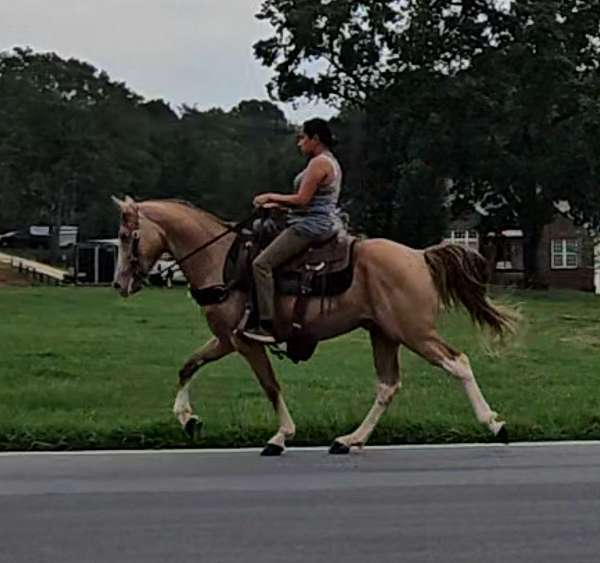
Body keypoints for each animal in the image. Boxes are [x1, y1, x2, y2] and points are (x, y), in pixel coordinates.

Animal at [113, 196, 520, 456]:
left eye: (125, 237)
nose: (119, 284)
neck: (222, 261)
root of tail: (420, 256)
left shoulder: (246, 342)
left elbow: (270, 386)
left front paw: (280, 437)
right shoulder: (228, 339)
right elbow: (189, 366)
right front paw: (187, 419)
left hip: (415, 333)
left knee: (458, 363)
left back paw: (494, 425)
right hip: (384, 334)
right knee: (387, 386)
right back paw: (350, 439)